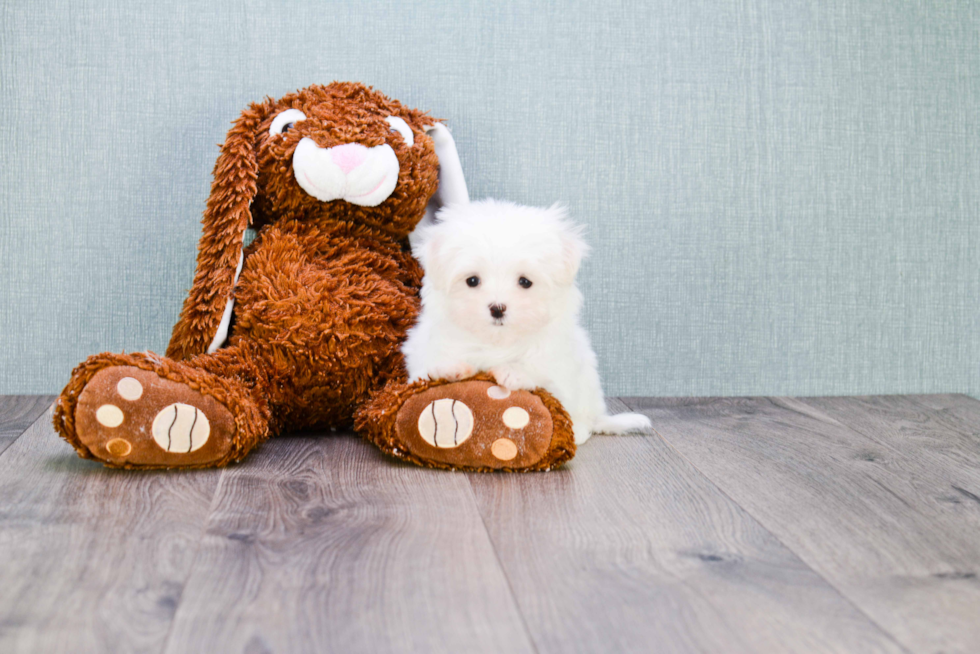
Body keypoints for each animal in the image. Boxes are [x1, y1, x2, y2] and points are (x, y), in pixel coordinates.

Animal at [402, 200, 656, 446]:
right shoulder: (423, 351)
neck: (498, 341)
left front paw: (513, 372)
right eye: (472, 281)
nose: (497, 308)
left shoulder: (560, 363)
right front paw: (450, 366)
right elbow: (430, 365)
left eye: (525, 282)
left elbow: (542, 372)